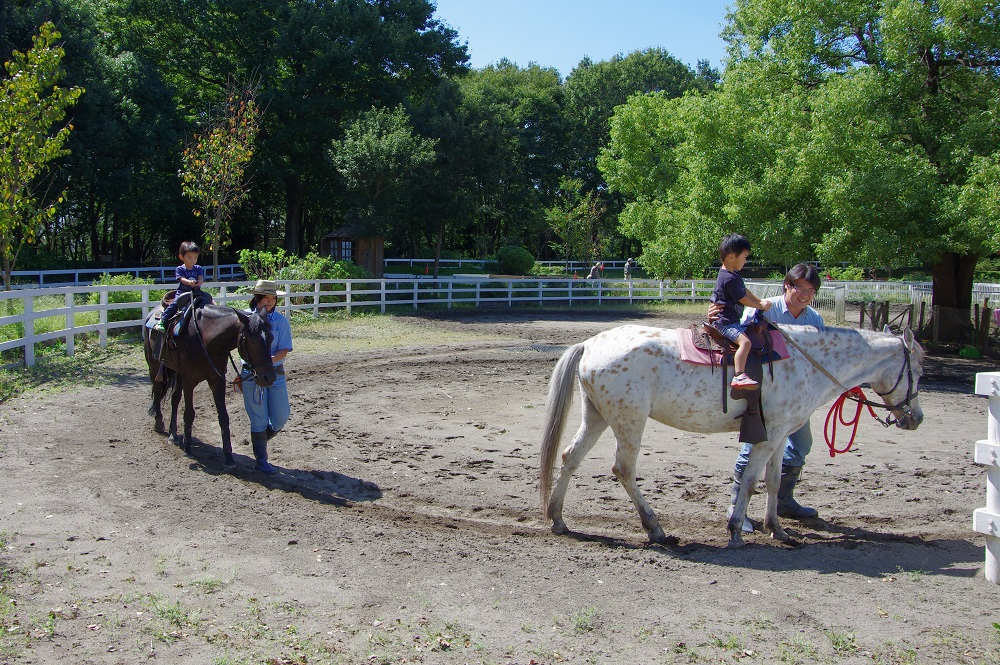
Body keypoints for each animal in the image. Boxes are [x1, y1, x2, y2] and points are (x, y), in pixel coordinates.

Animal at [143, 304, 276, 470]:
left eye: (271, 337)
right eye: (251, 340)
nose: (268, 377)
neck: (206, 340)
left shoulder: (216, 380)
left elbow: (223, 417)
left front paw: (228, 458)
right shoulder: (189, 380)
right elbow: (189, 414)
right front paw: (187, 450)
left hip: (178, 374)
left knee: (174, 399)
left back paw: (173, 435)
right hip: (154, 367)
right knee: (157, 391)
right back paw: (159, 423)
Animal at [540, 324, 920, 548]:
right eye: (916, 369)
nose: (915, 418)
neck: (805, 361)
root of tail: (589, 344)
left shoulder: (779, 435)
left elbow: (774, 481)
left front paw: (777, 529)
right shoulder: (767, 437)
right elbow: (750, 481)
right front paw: (736, 529)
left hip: (597, 416)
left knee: (570, 458)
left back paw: (558, 519)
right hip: (629, 422)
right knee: (624, 469)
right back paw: (655, 528)